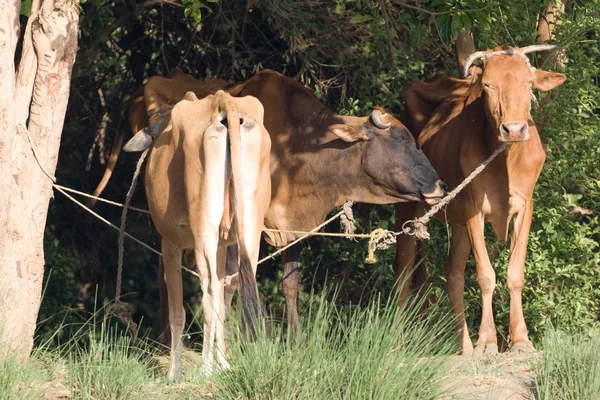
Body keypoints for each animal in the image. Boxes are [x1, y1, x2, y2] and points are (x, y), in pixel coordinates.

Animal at [94, 69, 448, 340]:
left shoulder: (291, 224)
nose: (440, 185)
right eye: (401, 139)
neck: (294, 147)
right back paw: (166, 341)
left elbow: (289, 283)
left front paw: (296, 341)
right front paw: (244, 340)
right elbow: (235, 279)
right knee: (166, 273)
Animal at [126, 89, 272, 380]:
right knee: (234, 285)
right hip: (248, 230)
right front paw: (222, 364)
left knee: (208, 291)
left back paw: (205, 369)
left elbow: (177, 312)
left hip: (204, 231)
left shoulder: (170, 243)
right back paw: (218, 365)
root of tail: (223, 102)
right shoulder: (221, 247)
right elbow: (222, 301)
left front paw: (174, 373)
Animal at [396, 44, 564, 356]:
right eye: (487, 85)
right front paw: (487, 341)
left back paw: (463, 347)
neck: (505, 163)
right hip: (407, 208)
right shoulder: (474, 207)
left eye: (528, 84)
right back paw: (396, 342)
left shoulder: (525, 206)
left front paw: (520, 339)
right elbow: (486, 275)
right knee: (402, 272)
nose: (514, 129)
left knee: (453, 277)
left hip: (458, 222)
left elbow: (515, 273)